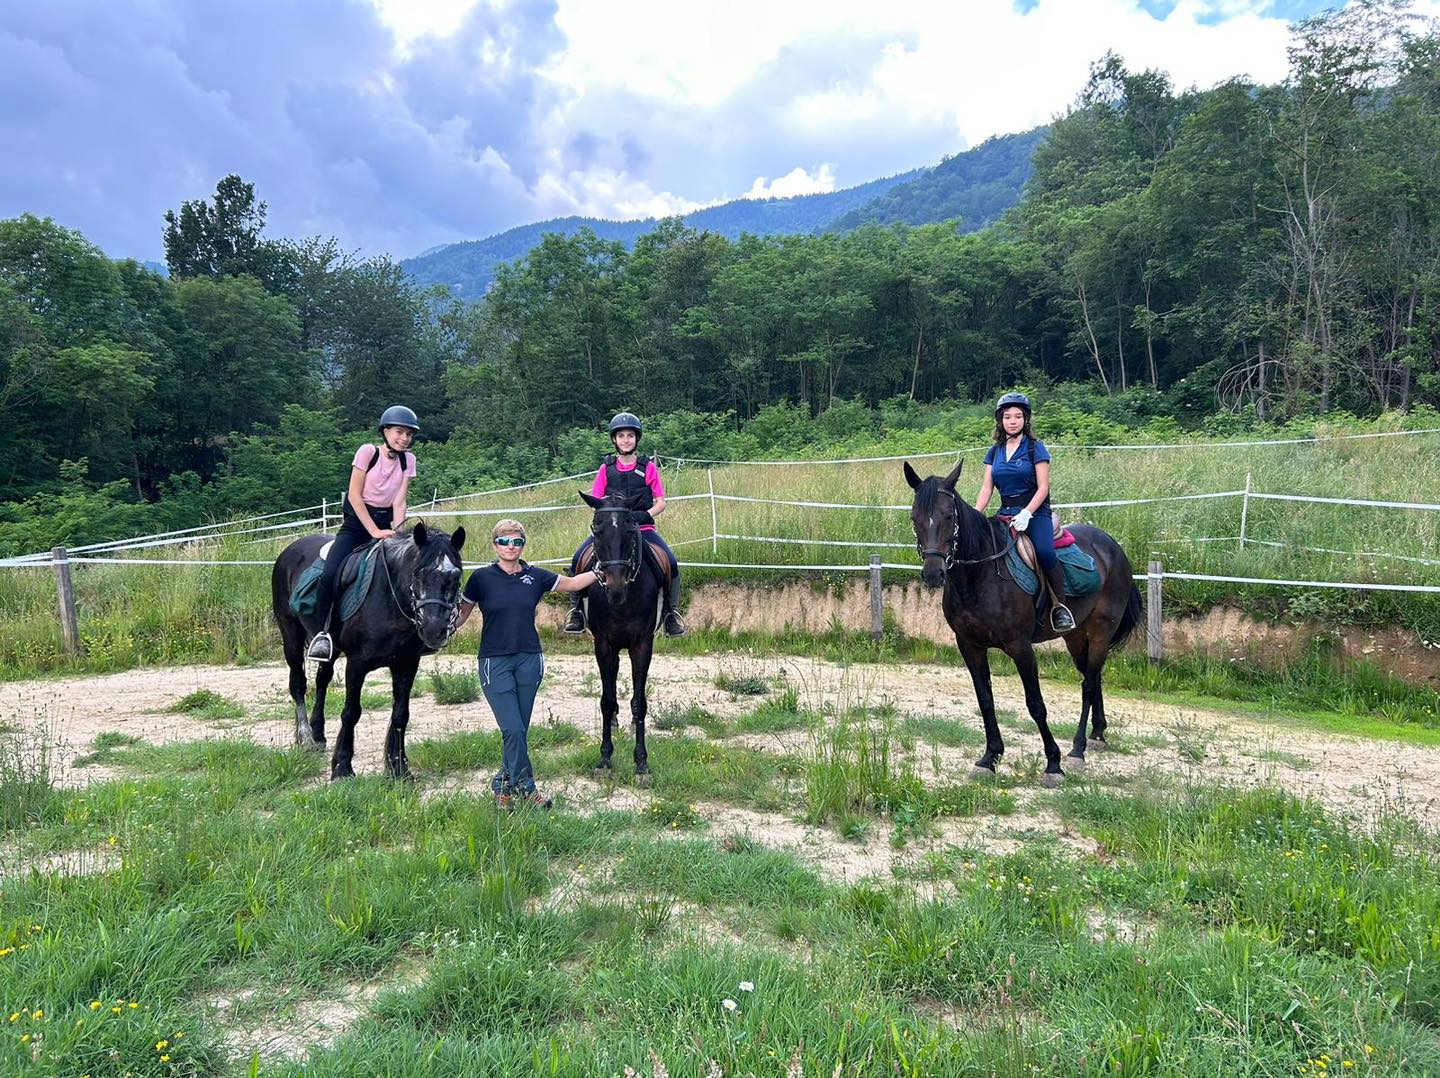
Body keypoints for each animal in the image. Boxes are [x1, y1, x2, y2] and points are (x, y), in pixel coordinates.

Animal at [270, 518, 466, 777]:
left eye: (456, 576)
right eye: (418, 573)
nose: (434, 630)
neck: (389, 597)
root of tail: (290, 549)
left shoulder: (407, 663)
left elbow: (400, 714)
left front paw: (398, 768)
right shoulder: (357, 664)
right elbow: (351, 712)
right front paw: (342, 767)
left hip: (330, 649)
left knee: (322, 680)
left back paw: (318, 733)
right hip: (291, 635)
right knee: (298, 685)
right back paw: (305, 738)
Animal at [576, 486, 659, 782]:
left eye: (631, 528)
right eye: (596, 530)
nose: (615, 588)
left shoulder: (642, 645)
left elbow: (639, 703)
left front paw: (642, 763)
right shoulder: (604, 645)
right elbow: (607, 700)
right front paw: (604, 758)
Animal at [904, 457, 1140, 788]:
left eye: (949, 516)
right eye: (915, 518)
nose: (933, 574)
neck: (981, 575)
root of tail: (1113, 547)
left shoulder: (1020, 647)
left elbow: (1036, 704)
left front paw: (1053, 764)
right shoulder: (970, 646)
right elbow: (985, 700)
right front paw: (990, 758)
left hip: (1101, 631)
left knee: (1089, 684)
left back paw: (1077, 750)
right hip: (1075, 636)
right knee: (1093, 677)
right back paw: (1098, 734)